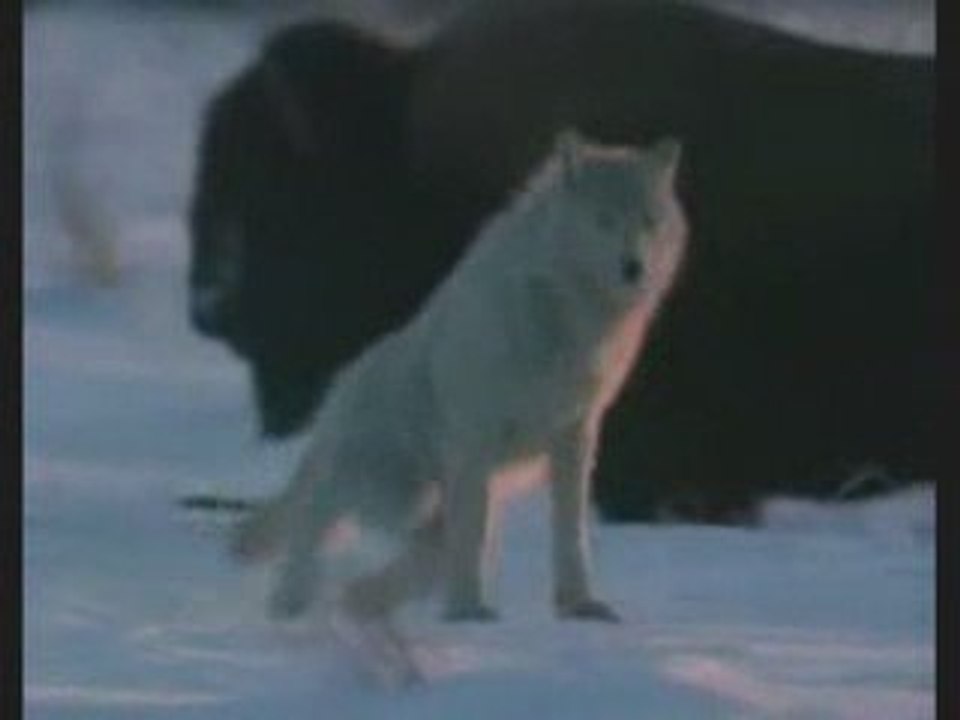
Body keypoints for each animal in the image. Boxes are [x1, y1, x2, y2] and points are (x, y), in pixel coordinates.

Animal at [231, 132, 687, 623]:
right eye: (604, 220)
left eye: (649, 222)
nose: (633, 266)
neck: (567, 316)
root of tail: (338, 394)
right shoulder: (476, 440)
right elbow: (473, 535)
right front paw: (468, 609)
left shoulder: (575, 437)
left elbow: (570, 535)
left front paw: (579, 605)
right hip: (396, 493)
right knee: (314, 519)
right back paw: (291, 602)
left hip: (431, 517)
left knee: (382, 573)